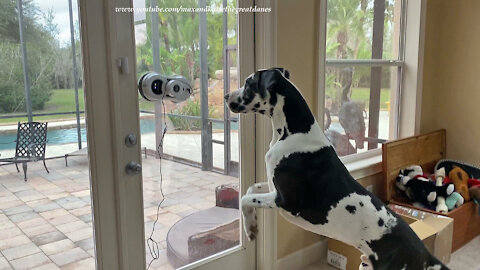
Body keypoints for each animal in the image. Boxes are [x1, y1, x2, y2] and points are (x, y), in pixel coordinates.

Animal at [225, 68, 450, 270]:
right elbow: (250, 189)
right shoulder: (273, 188)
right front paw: (252, 224)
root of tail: (425, 256)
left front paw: (250, 229)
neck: (295, 132)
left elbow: (245, 198)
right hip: (365, 266)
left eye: (248, 83)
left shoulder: (285, 201)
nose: (227, 95)